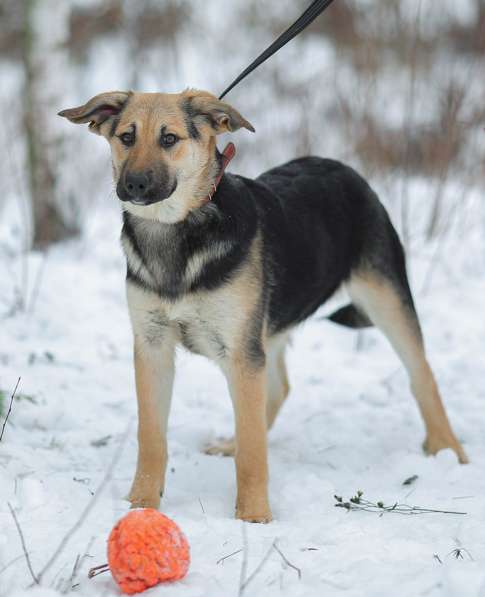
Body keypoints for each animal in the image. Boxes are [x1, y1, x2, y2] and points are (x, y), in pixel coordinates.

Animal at [58, 88, 466, 520]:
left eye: (169, 139)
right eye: (126, 137)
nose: (133, 184)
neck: (176, 233)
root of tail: (341, 166)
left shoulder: (240, 352)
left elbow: (253, 452)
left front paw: (253, 517)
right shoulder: (153, 346)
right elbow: (151, 435)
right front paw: (140, 504)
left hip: (385, 301)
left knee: (422, 375)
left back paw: (447, 450)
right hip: (267, 329)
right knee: (276, 391)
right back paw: (230, 443)